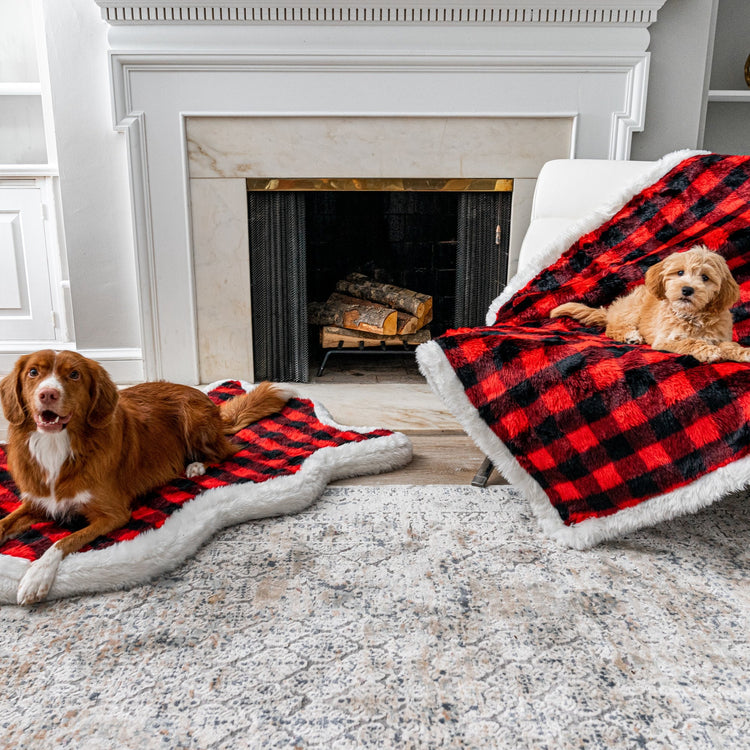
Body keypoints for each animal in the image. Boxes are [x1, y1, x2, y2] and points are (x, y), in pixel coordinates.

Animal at [0, 352, 290, 604]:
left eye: (74, 375)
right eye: (33, 372)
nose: (47, 394)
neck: (57, 446)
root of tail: (210, 405)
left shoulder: (113, 514)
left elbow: (62, 541)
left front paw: (36, 577)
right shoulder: (38, 502)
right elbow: (5, 523)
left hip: (194, 420)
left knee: (226, 451)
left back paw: (196, 466)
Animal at [552, 247, 750, 364]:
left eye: (705, 277)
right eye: (680, 273)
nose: (687, 289)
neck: (693, 316)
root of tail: (612, 310)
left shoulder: (720, 336)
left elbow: (730, 346)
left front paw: (744, 352)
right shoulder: (665, 339)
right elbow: (689, 341)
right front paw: (708, 350)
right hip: (632, 310)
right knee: (613, 328)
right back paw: (631, 336)